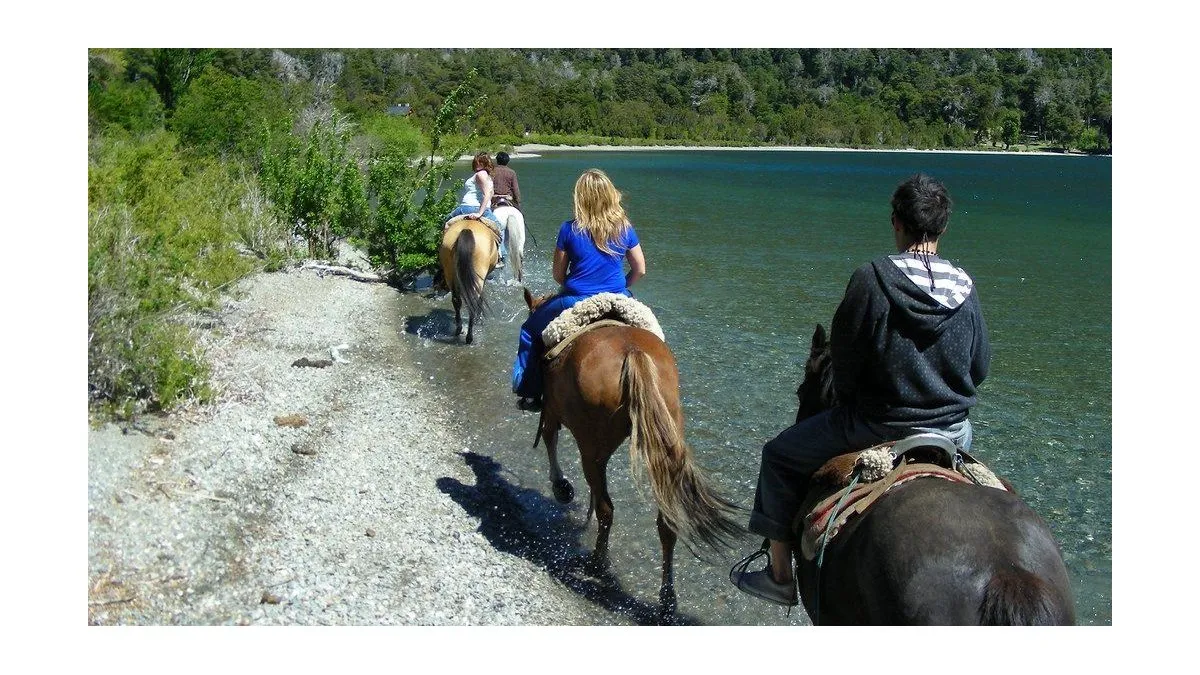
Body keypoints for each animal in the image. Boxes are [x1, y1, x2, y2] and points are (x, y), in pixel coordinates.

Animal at [525, 289, 739, 614]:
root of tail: (634, 354)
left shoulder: (551, 410)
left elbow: (550, 437)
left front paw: (561, 487)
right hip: (660, 444)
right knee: (665, 523)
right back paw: (667, 600)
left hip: (593, 447)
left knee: (606, 507)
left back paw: (597, 563)